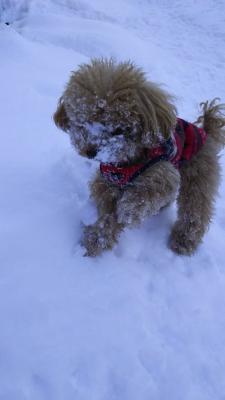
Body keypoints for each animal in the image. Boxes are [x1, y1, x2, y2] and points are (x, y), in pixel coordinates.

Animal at [53, 58, 225, 256]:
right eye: (83, 122)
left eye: (118, 129)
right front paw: (97, 240)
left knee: (195, 211)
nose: (90, 151)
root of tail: (206, 132)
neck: (123, 164)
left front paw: (129, 210)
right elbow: (108, 216)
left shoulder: (162, 173)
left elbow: (142, 196)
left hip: (199, 176)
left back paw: (183, 241)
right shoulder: (107, 185)